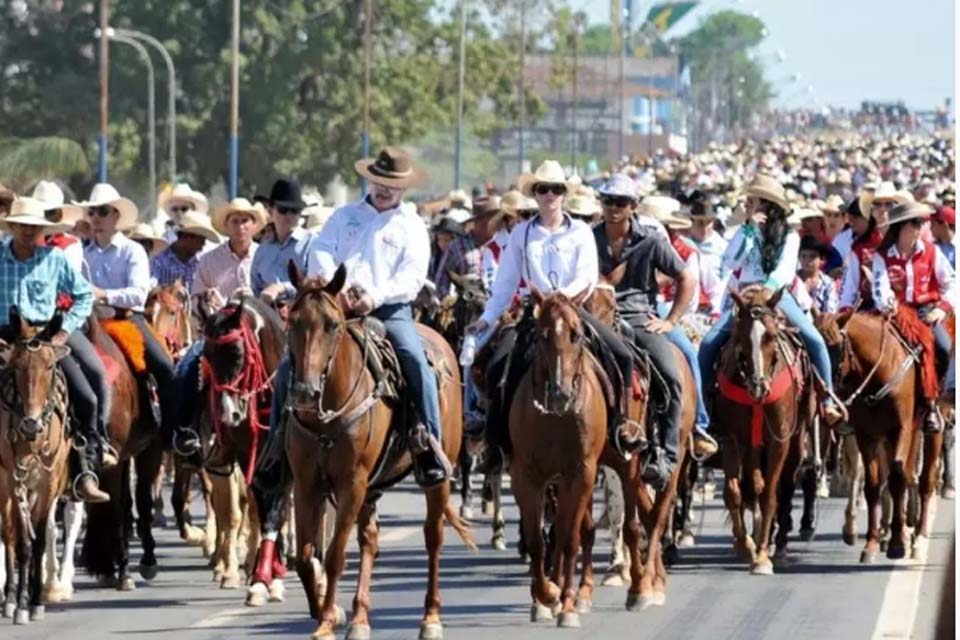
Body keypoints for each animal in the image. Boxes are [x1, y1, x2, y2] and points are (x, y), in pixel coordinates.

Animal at [284, 264, 476, 640]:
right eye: (292, 320)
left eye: (333, 324)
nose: (304, 392)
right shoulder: (306, 483)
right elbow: (305, 556)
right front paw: (325, 612)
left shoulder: (351, 483)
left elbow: (334, 555)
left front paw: (326, 620)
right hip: (370, 488)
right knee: (369, 540)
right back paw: (360, 618)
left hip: (438, 476)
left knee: (433, 537)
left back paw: (430, 618)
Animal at [716, 288, 812, 572]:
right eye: (740, 336)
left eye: (770, 335)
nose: (758, 387)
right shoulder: (732, 438)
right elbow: (734, 492)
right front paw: (745, 544)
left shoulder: (779, 440)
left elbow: (770, 495)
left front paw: (761, 557)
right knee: (754, 486)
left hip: (795, 440)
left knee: (785, 486)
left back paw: (777, 545)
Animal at [812, 312, 940, 564]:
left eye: (835, 347)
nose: (826, 402)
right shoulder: (867, 435)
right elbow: (873, 484)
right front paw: (871, 543)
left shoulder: (901, 430)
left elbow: (897, 478)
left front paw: (898, 543)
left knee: (924, 479)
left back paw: (918, 538)